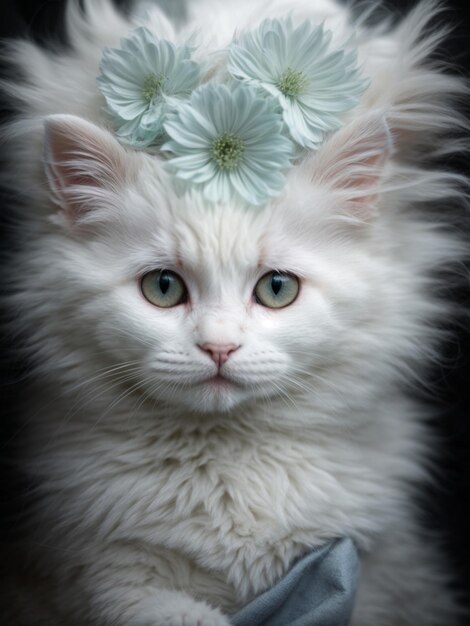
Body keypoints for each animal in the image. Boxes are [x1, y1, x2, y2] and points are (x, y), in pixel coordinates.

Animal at [2, 1, 466, 624]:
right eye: (164, 287)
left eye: (276, 288)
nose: (218, 347)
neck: (224, 468)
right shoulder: (108, 576)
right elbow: (182, 613)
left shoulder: (377, 572)